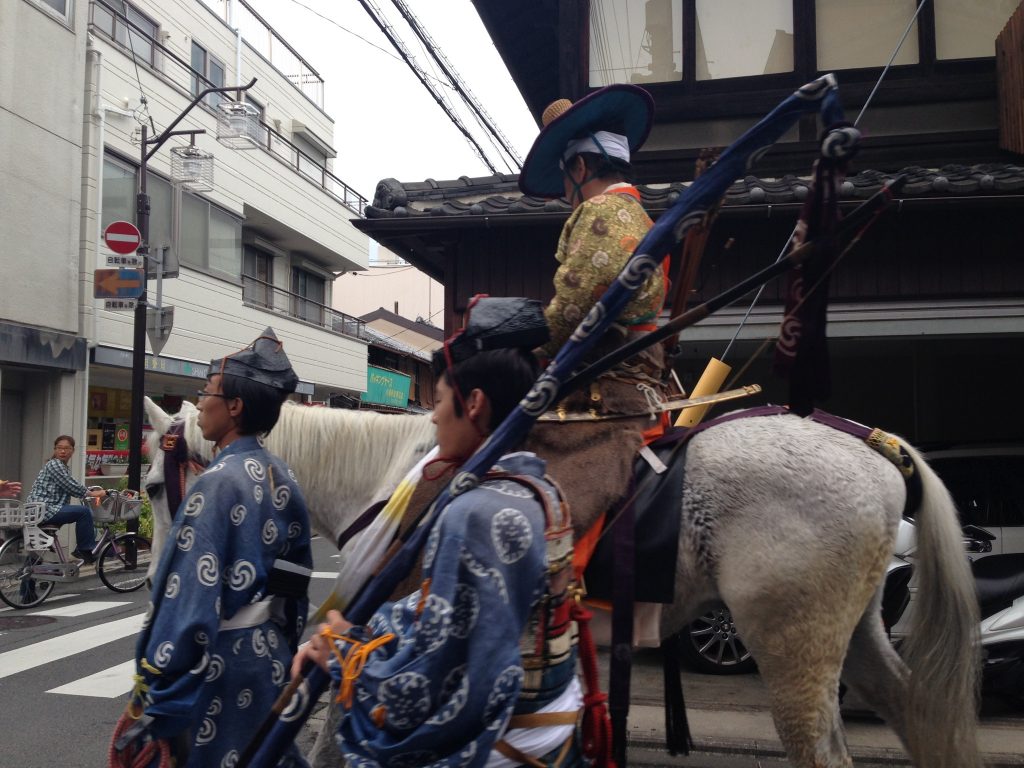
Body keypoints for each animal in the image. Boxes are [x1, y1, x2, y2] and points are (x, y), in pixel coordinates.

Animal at [140, 399, 978, 765]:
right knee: (907, 706)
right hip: (852, 629)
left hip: (791, 638)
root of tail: (872, 445)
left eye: (151, 483)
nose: (151, 581)